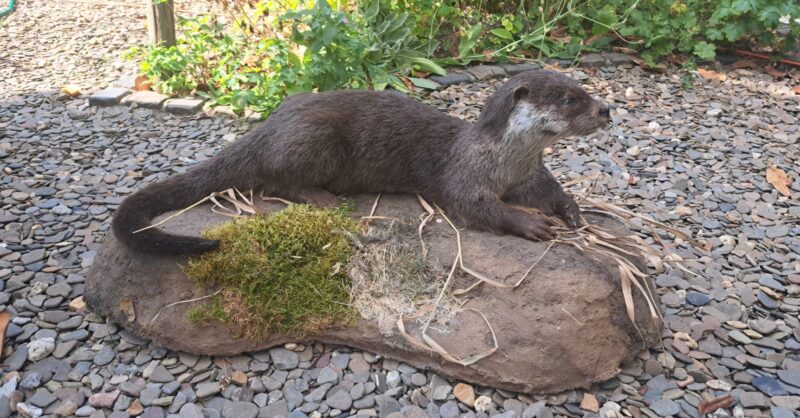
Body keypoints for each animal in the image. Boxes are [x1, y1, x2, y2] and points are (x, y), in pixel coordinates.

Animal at [112, 70, 610, 255]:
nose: (606, 111)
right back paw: (323, 199)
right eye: (570, 99)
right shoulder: (464, 177)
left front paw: (573, 212)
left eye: (585, 88)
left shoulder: (530, 174)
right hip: (313, 139)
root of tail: (268, 125)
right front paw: (529, 224)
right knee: (273, 183)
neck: (501, 160)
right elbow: (477, 207)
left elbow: (552, 191)